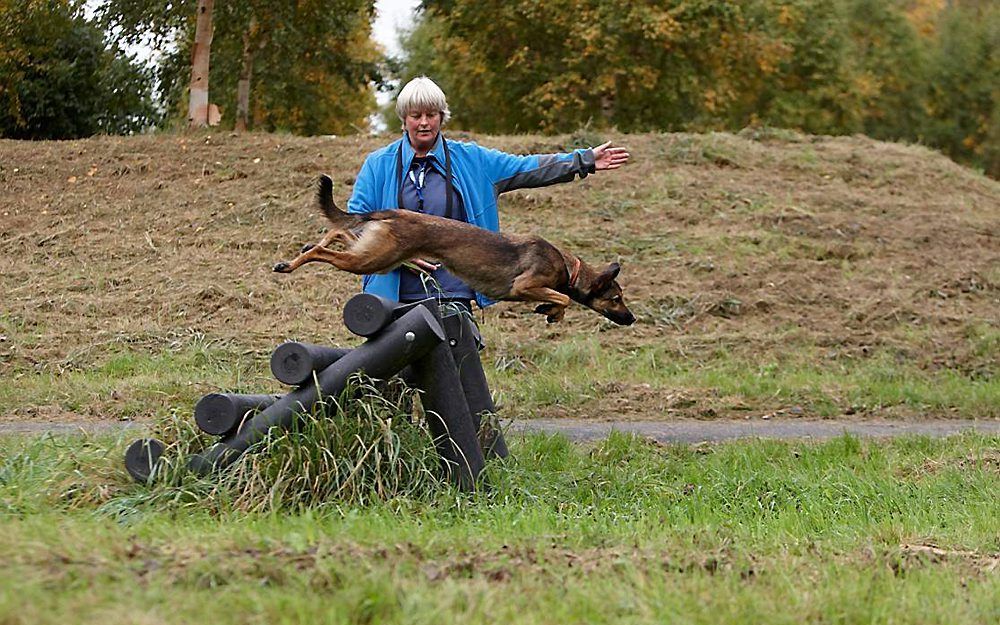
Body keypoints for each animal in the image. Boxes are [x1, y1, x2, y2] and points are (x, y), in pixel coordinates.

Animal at [270, 173, 636, 324]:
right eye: (616, 299)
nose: (631, 319)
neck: (569, 268)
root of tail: (391, 212)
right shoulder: (524, 286)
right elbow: (562, 298)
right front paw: (553, 311)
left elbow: (559, 299)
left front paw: (549, 311)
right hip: (372, 259)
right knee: (326, 252)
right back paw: (289, 264)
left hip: (377, 254)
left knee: (336, 233)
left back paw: (307, 246)